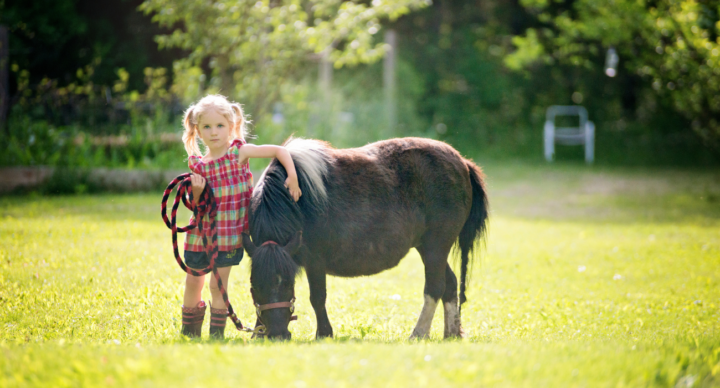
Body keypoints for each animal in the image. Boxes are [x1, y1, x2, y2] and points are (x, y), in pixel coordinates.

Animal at [243, 137, 490, 340]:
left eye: (287, 283)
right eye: (254, 284)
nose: (276, 334)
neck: (296, 202)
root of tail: (463, 164)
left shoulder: (315, 261)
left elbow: (318, 297)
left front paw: (324, 333)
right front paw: (257, 331)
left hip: (435, 248)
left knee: (435, 287)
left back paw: (419, 333)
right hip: (430, 249)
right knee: (450, 284)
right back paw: (452, 332)